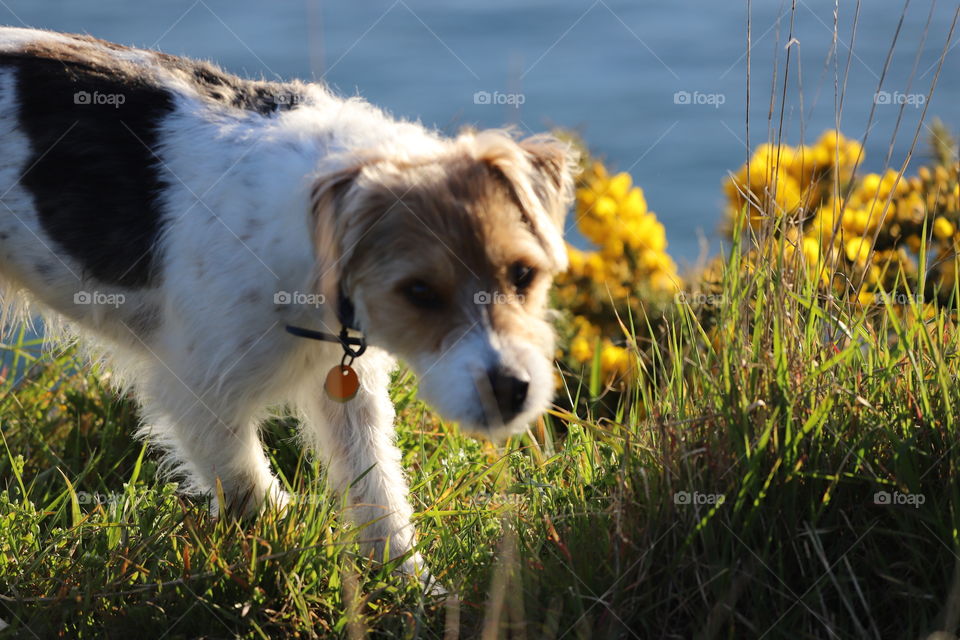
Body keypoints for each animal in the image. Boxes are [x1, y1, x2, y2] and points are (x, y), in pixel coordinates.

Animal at [0, 27, 568, 584]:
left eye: (524, 274)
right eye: (419, 291)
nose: (510, 391)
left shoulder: (347, 387)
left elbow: (376, 485)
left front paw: (410, 585)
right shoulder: (199, 392)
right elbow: (252, 490)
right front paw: (282, 551)